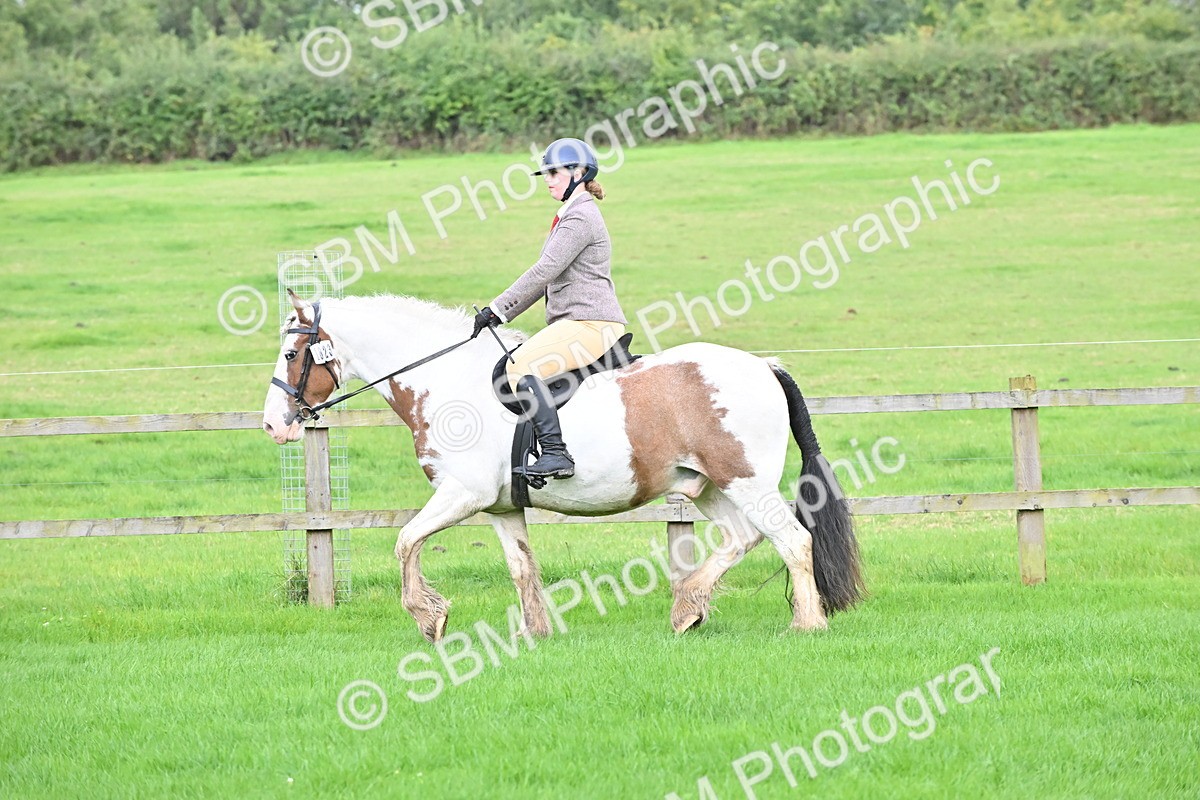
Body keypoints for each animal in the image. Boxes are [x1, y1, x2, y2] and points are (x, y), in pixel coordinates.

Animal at [262, 290, 863, 641]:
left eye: (292, 355)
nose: (274, 425)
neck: (448, 382)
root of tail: (763, 366)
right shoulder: (501, 508)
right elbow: (521, 567)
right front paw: (536, 634)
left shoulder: (462, 495)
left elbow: (405, 541)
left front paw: (430, 618)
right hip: (711, 485)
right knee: (745, 537)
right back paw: (687, 609)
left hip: (745, 480)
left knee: (793, 540)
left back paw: (805, 624)